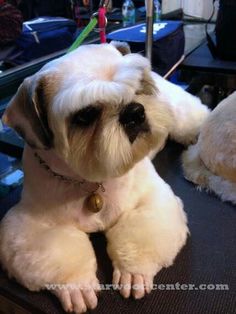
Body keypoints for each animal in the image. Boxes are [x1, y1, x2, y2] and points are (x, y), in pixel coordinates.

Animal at [0, 43, 210, 312]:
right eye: (85, 115)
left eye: (138, 85)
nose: (134, 111)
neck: (90, 179)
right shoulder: (28, 228)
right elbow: (59, 254)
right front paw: (76, 284)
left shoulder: (153, 200)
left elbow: (141, 233)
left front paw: (134, 271)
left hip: (182, 117)